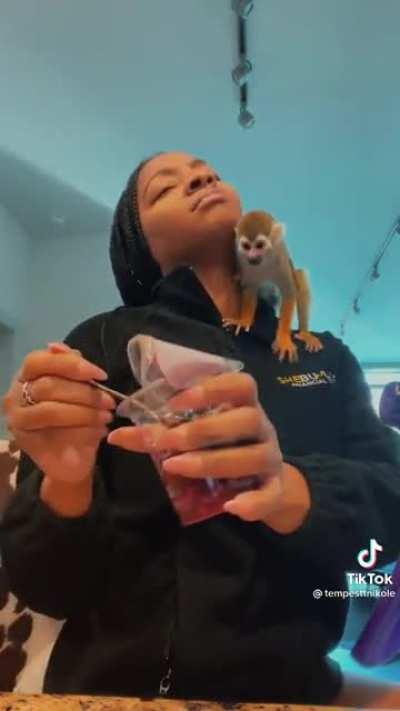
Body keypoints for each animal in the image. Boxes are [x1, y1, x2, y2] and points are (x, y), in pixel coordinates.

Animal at [223, 210, 324, 363]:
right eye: (246, 247)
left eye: (259, 245)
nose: (252, 256)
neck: (265, 261)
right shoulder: (243, 261)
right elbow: (250, 289)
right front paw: (244, 320)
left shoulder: (281, 258)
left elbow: (289, 291)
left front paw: (283, 339)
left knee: (299, 278)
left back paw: (304, 333)